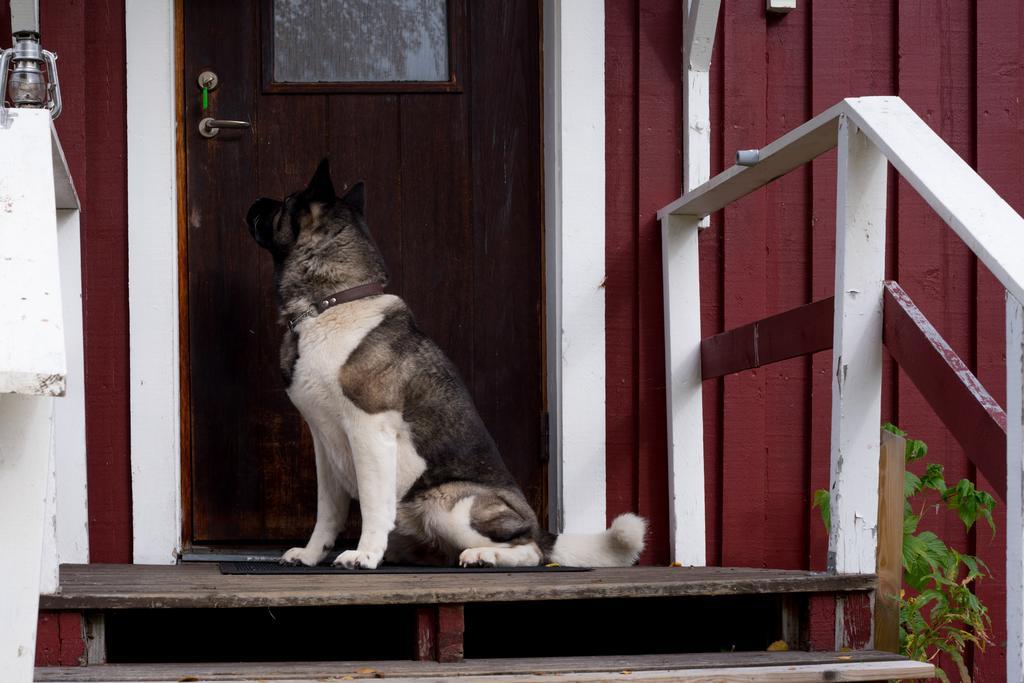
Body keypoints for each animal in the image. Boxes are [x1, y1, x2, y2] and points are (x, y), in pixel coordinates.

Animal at [244, 157, 643, 569]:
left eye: (285, 202)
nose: (255, 201)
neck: (333, 304)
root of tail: (540, 526)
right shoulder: (325, 445)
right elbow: (327, 512)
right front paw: (311, 554)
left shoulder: (369, 430)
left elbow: (373, 504)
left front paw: (365, 554)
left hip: (449, 505)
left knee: (530, 550)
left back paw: (484, 555)